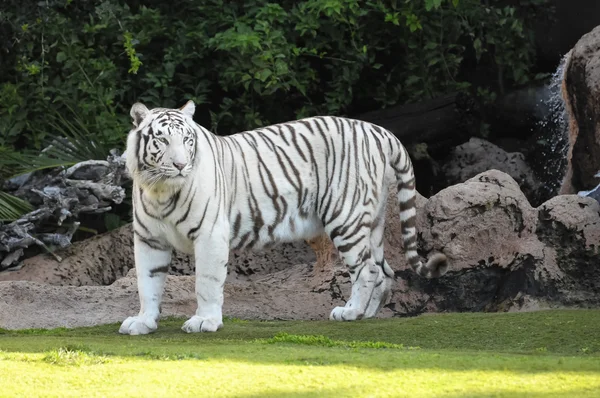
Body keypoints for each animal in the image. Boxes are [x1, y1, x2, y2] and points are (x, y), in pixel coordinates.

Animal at [119, 101, 448, 334]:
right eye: (162, 141)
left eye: (187, 140)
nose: (180, 165)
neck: (160, 190)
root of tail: (379, 130)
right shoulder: (149, 240)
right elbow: (147, 283)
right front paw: (143, 322)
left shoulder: (210, 234)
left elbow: (207, 282)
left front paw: (205, 322)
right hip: (373, 223)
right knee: (384, 270)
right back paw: (365, 314)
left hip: (346, 217)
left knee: (366, 269)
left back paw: (350, 312)